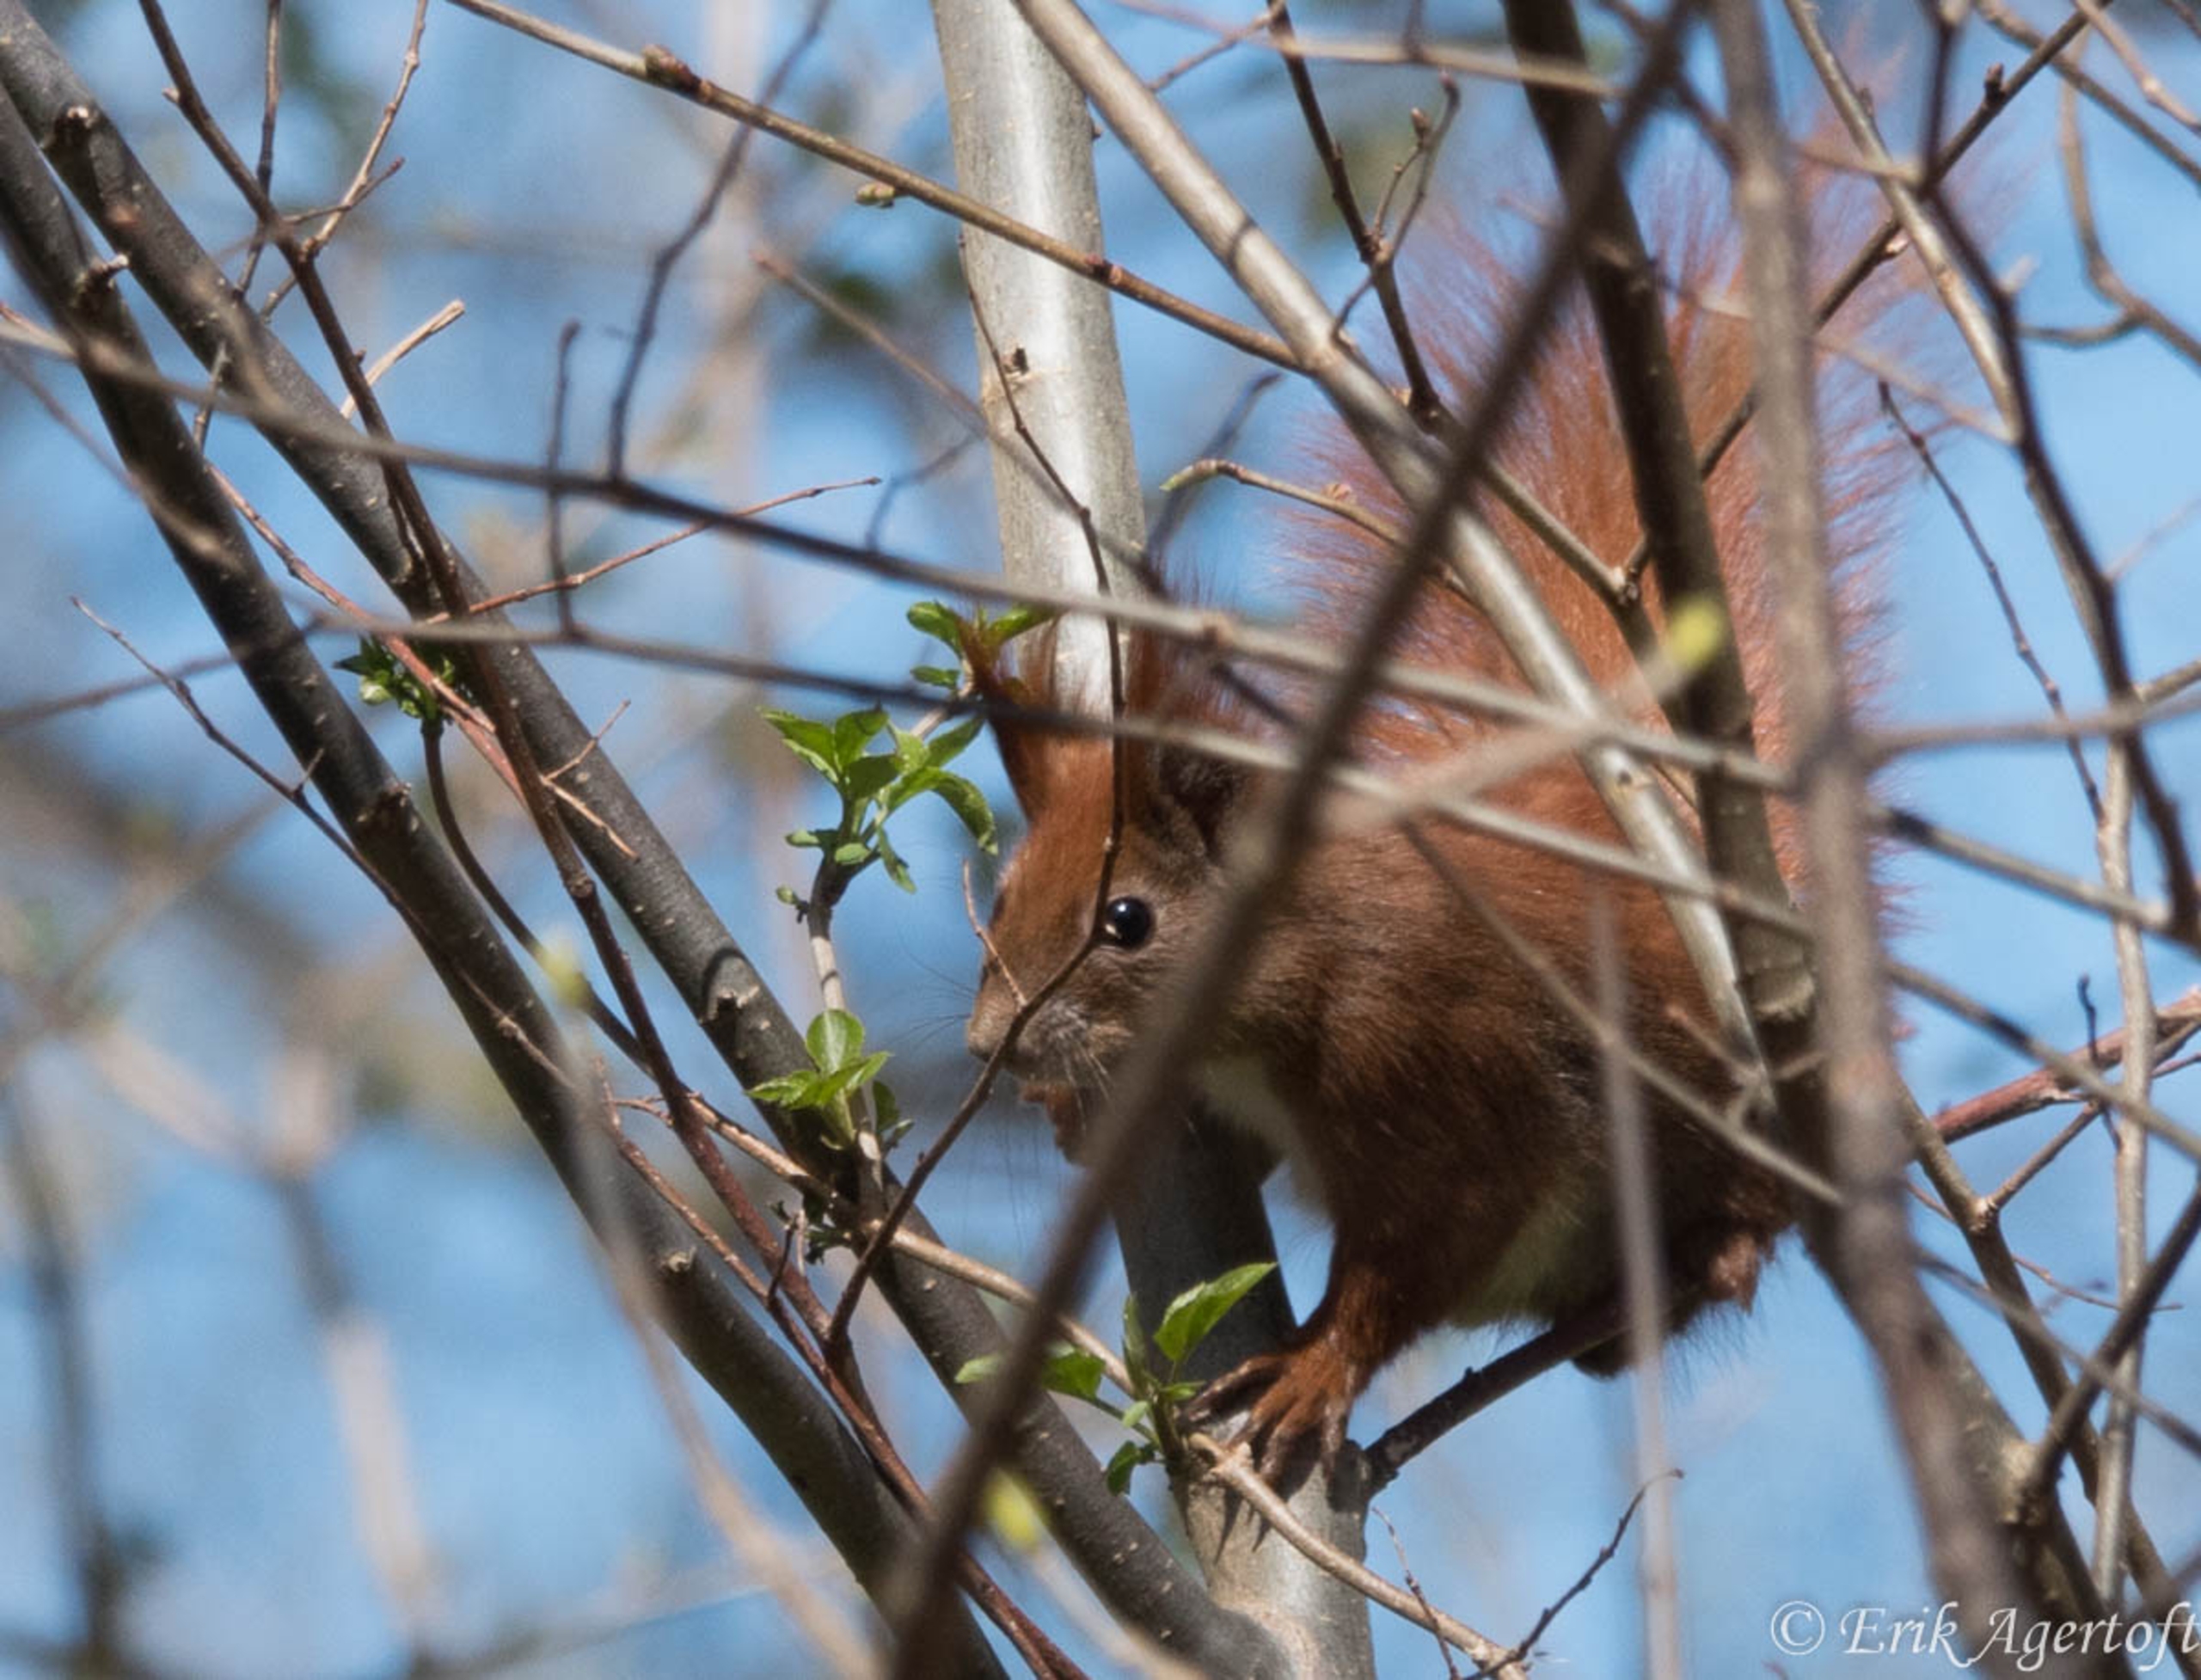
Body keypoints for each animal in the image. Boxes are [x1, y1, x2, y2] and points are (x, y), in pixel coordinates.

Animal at [962, 172, 1907, 1478]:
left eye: (1127, 920)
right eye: (1001, 896)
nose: (989, 1041)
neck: (1298, 964)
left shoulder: (1440, 1071)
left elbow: (1408, 1267)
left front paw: (1311, 1369)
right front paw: (1076, 1109)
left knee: (1727, 1250)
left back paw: (1681, 1272)